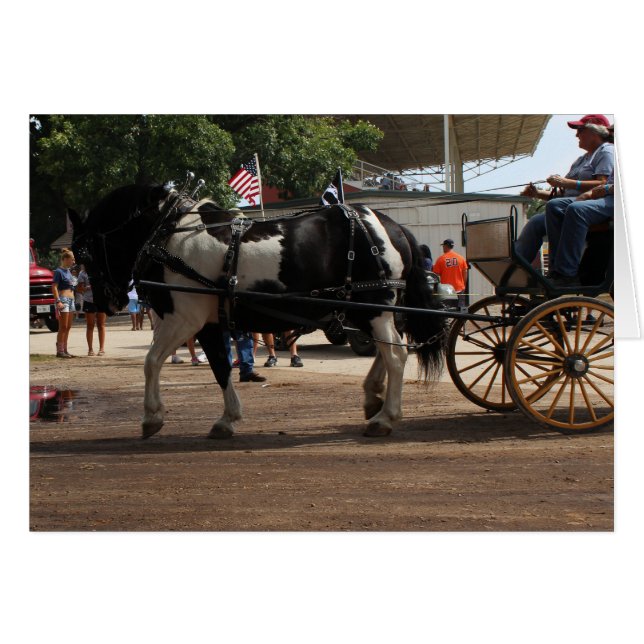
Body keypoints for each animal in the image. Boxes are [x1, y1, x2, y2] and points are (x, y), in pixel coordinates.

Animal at [69, 182, 448, 439]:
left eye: (84, 253)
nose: (104, 303)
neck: (169, 236)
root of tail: (391, 226)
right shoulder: (204, 322)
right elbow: (220, 367)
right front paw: (227, 419)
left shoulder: (184, 318)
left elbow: (152, 362)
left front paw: (152, 417)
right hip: (366, 309)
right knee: (387, 351)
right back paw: (373, 396)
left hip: (374, 307)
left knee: (396, 354)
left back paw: (385, 417)